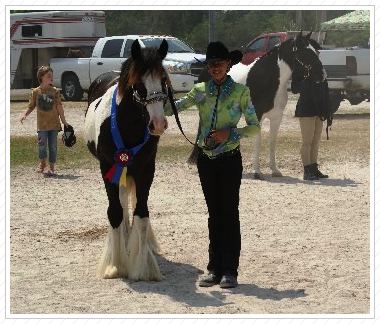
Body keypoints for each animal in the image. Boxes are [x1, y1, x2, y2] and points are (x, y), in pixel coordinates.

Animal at [86, 38, 171, 280]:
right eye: (138, 83)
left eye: (163, 79)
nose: (158, 124)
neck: (128, 124)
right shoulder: (107, 166)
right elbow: (115, 212)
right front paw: (114, 266)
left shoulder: (146, 168)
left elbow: (141, 214)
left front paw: (143, 267)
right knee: (122, 201)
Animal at [189, 32, 322, 180]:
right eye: (305, 53)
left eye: (316, 51)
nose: (322, 75)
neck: (269, 81)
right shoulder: (257, 116)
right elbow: (258, 142)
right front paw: (257, 172)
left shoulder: (277, 117)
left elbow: (272, 142)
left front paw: (275, 170)